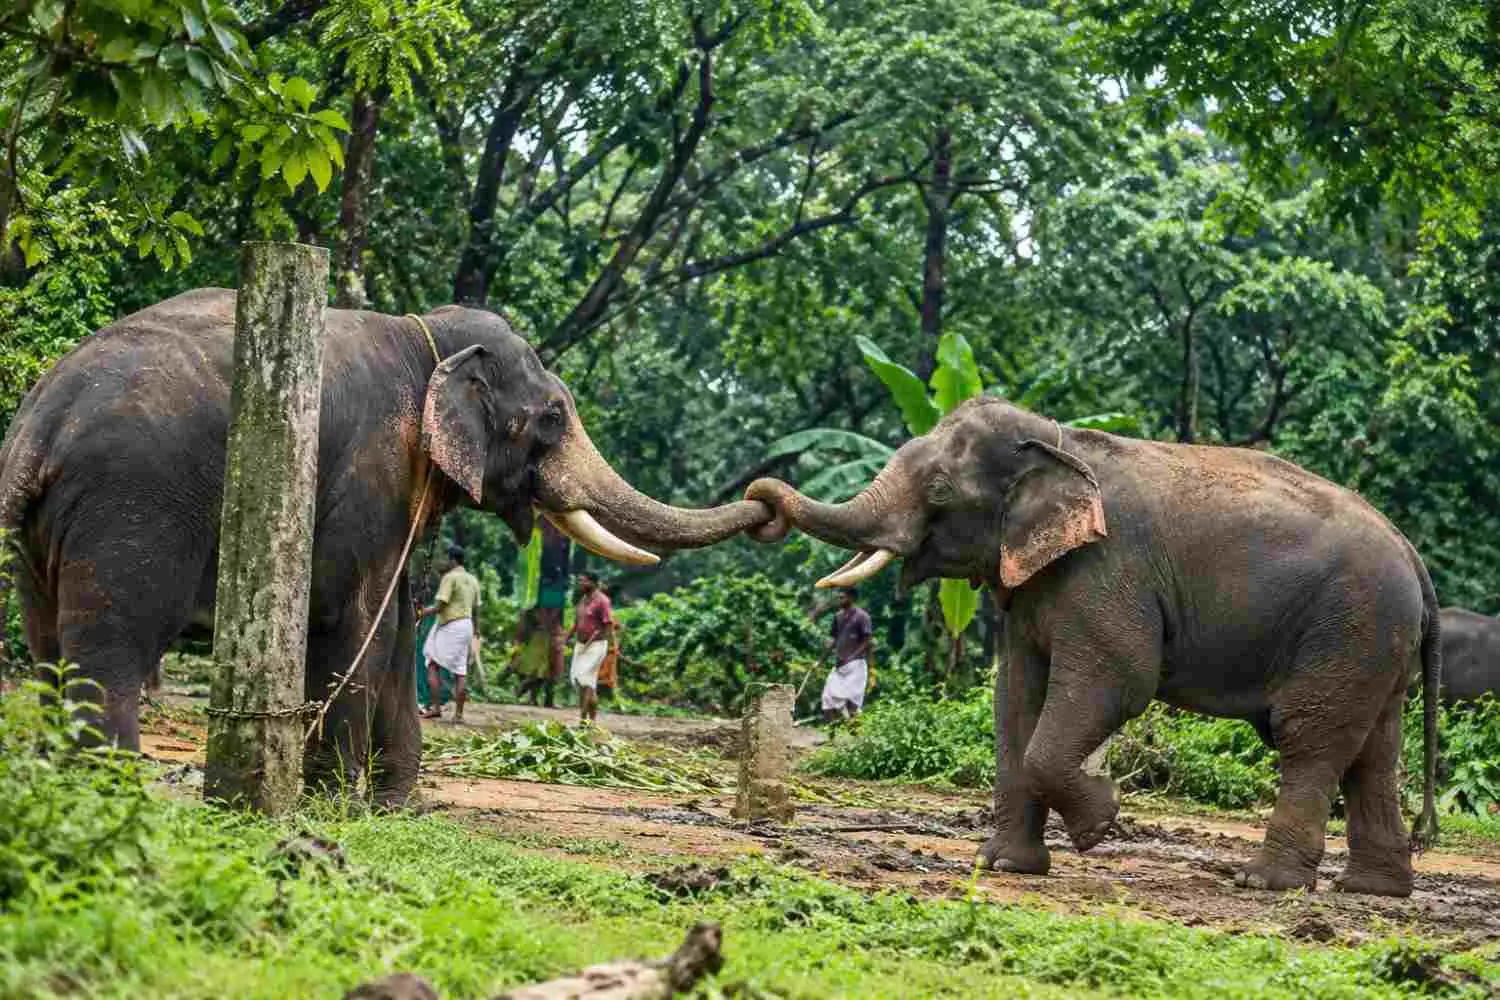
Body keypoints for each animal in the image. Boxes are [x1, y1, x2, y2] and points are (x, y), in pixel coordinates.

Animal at [0, 288, 769, 804]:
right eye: (553, 417)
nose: (769, 504)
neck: (423, 334)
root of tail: (39, 427)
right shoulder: (372, 469)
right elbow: (354, 618)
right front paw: (341, 801)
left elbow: (398, 626)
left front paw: (396, 803)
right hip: (130, 506)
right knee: (111, 646)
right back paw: (108, 788)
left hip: (41, 536)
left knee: (45, 646)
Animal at [746, 397, 1439, 897]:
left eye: (940, 488)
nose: (760, 502)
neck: (1058, 442)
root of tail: (1413, 555)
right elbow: (1015, 699)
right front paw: (1004, 866)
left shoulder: (1108, 569)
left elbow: (1119, 681)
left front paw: (1099, 824)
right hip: (1374, 641)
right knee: (1374, 752)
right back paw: (1374, 890)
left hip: (1350, 624)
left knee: (1310, 737)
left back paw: (1265, 883)